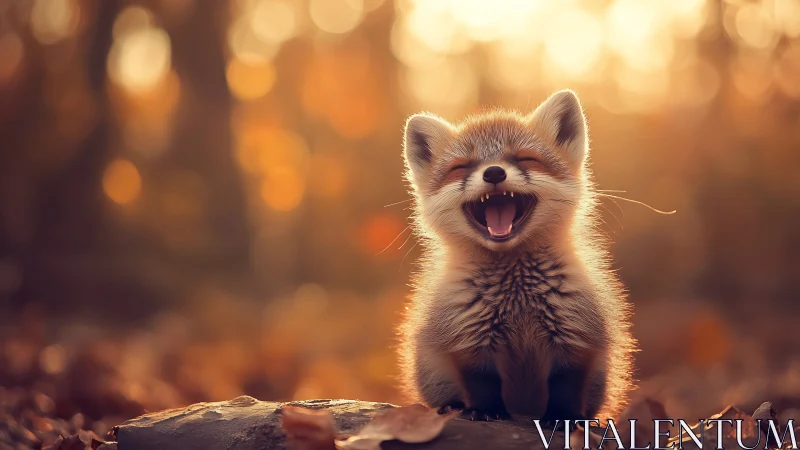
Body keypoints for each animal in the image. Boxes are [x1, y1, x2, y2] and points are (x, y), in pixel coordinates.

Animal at [397, 90, 635, 422]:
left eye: (525, 159)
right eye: (461, 167)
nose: (494, 172)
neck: (517, 297)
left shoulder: (576, 337)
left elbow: (566, 388)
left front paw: (562, 419)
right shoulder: (468, 341)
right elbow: (482, 385)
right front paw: (485, 411)